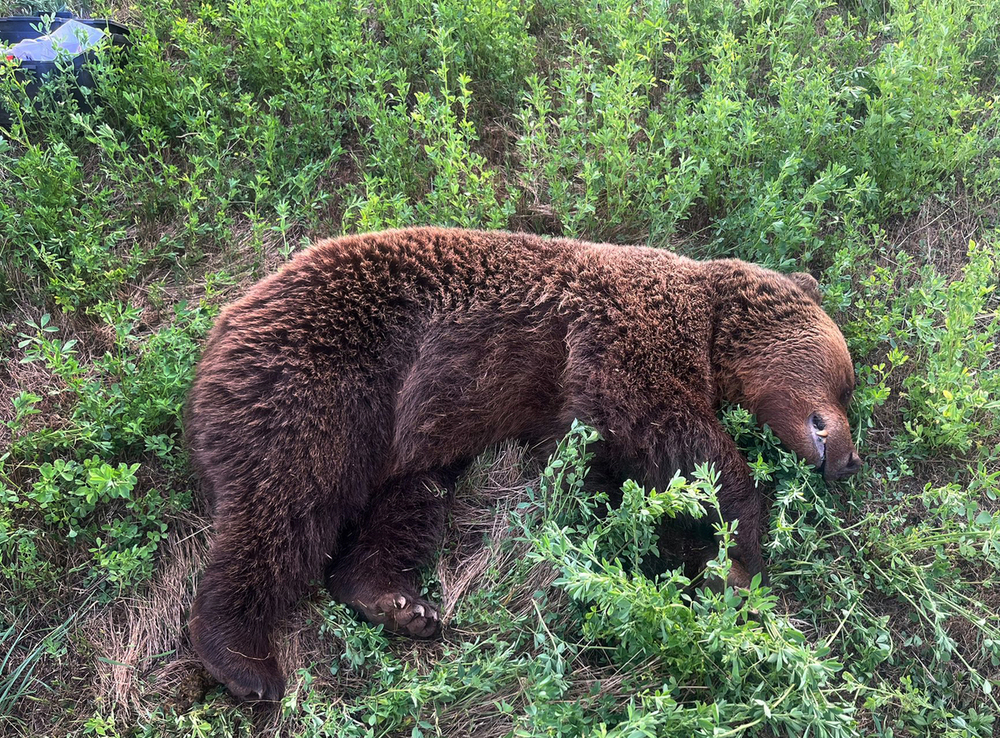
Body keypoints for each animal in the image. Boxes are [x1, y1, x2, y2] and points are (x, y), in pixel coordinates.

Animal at [185, 227, 861, 701]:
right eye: (849, 384)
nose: (850, 461)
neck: (710, 328)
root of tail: (220, 331)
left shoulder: (574, 410)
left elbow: (614, 480)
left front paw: (689, 563)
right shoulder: (627, 340)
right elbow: (678, 439)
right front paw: (741, 557)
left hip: (414, 441)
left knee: (406, 506)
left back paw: (398, 604)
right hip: (321, 378)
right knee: (285, 503)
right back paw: (244, 661)